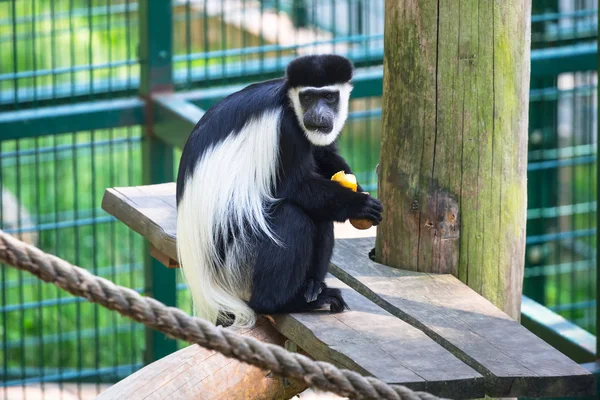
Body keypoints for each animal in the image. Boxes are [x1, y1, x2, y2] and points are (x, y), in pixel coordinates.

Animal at [176, 54, 382, 328]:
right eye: (307, 97)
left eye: (329, 97)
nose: (317, 115)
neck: (290, 106)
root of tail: (209, 291)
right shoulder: (285, 131)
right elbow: (295, 186)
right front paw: (358, 204)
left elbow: (323, 155)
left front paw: (356, 186)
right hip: (238, 264)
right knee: (291, 217)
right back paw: (287, 303)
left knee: (320, 217)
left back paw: (312, 288)